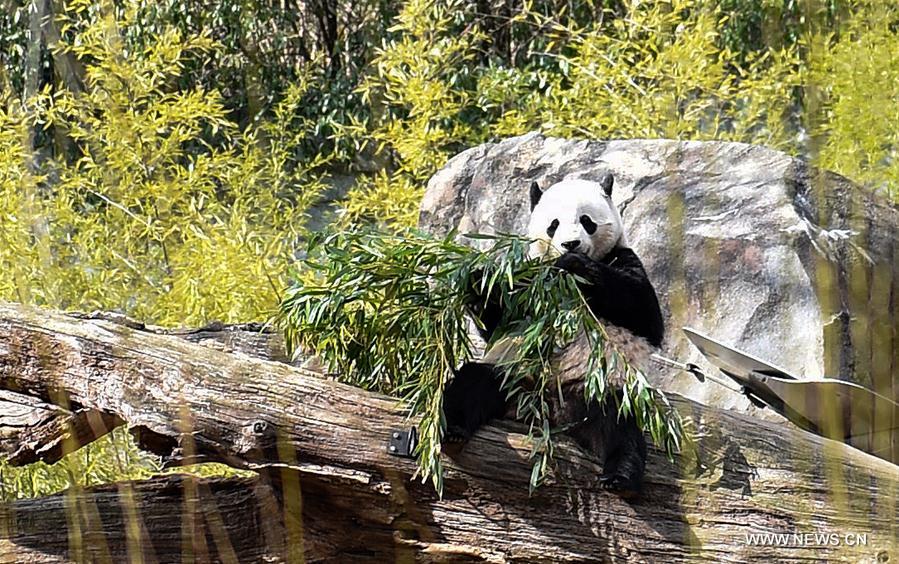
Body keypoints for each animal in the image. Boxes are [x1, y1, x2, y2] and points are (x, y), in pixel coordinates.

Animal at [442, 172, 664, 496]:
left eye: (587, 221)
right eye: (553, 224)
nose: (571, 245)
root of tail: (550, 410)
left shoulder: (622, 258)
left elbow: (643, 312)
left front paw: (575, 266)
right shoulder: (528, 277)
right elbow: (502, 321)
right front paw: (477, 279)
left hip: (598, 387)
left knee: (620, 427)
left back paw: (620, 478)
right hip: (513, 375)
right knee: (471, 384)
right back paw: (452, 431)